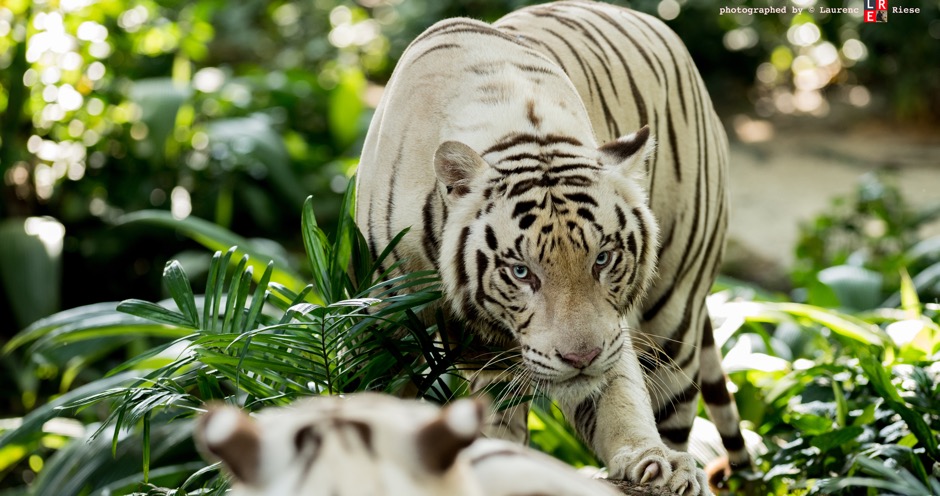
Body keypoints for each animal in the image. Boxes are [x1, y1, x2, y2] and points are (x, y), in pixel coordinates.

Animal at [354, 1, 748, 494]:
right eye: (522, 271)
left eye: (603, 259)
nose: (581, 358)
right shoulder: (385, 320)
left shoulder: (610, 333)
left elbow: (618, 398)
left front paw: (653, 460)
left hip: (674, 315)